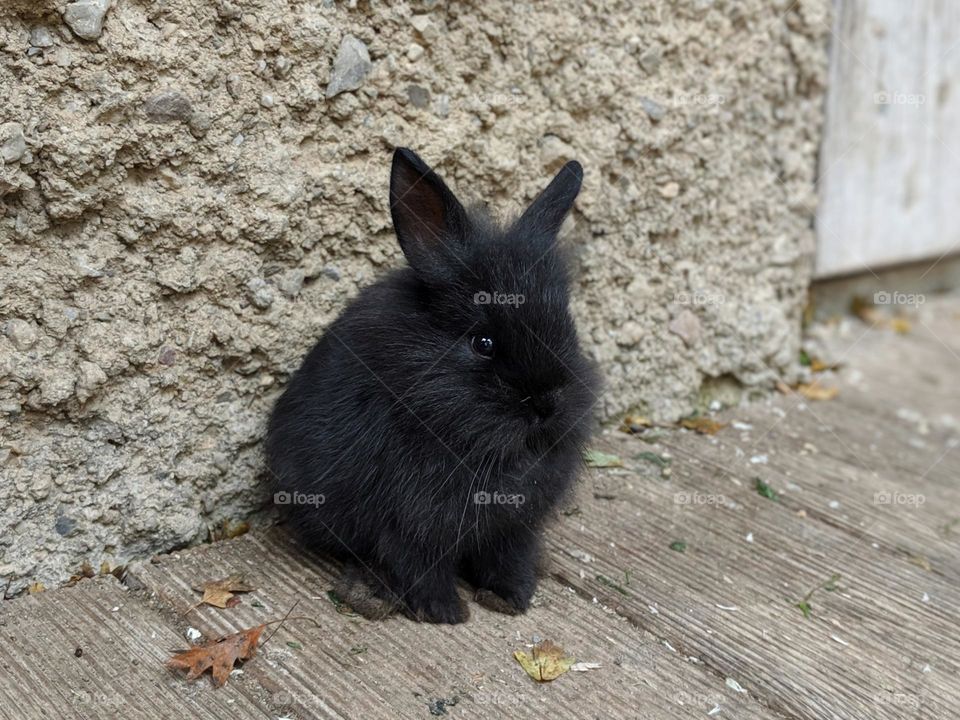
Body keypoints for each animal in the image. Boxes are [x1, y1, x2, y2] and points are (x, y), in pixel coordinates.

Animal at [265, 147, 599, 624]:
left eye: (567, 328)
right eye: (483, 343)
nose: (548, 405)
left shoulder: (515, 527)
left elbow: (508, 557)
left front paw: (510, 598)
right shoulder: (408, 522)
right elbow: (417, 564)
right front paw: (446, 612)